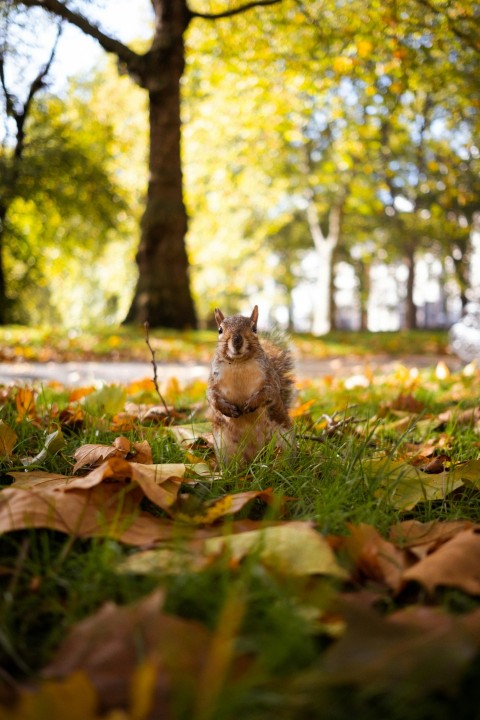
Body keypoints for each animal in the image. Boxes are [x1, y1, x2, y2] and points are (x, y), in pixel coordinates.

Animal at [207, 306, 296, 464]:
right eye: (219, 330)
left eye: (254, 328)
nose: (237, 340)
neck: (238, 363)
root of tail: (255, 457)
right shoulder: (213, 380)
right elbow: (211, 397)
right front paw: (227, 409)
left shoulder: (270, 378)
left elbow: (269, 392)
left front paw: (252, 403)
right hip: (225, 447)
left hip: (284, 441)